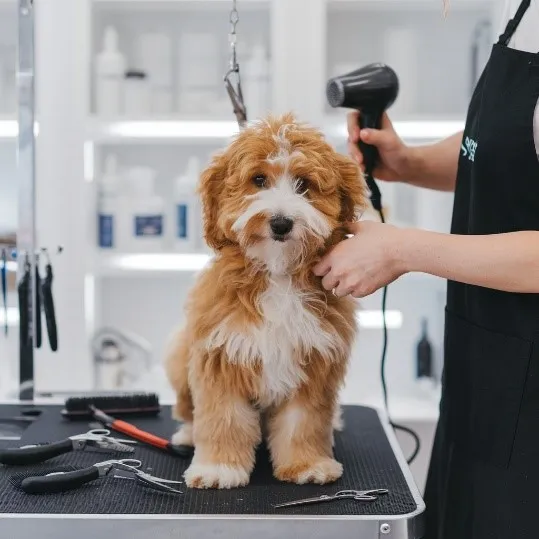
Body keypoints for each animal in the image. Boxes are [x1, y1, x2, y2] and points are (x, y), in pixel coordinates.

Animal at [165, 113, 368, 490]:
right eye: (258, 180)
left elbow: (303, 421)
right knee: (188, 408)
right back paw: (187, 434)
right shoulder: (221, 354)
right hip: (178, 352)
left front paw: (307, 464)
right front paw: (219, 468)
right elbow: (223, 417)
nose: (281, 223)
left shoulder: (315, 361)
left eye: (304, 184)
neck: (278, 274)